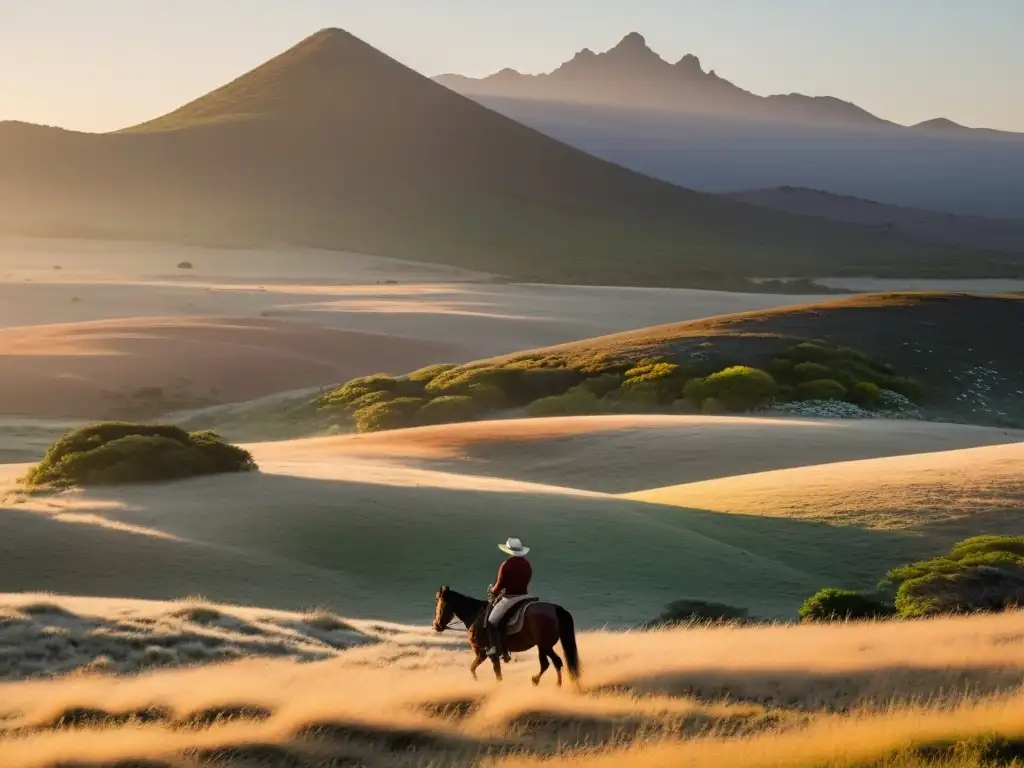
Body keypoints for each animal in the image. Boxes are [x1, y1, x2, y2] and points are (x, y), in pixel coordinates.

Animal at [430, 585, 581, 688]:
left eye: (439, 604)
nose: (436, 625)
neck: (475, 615)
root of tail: (556, 609)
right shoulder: (486, 654)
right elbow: (477, 668)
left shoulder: (484, 652)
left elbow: (487, 670)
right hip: (543, 646)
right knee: (551, 663)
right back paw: (547, 683)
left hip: (544, 646)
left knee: (552, 663)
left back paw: (545, 682)